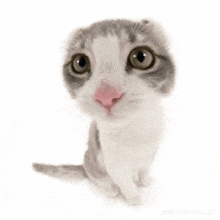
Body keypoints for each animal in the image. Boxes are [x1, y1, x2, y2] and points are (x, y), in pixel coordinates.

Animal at [32, 18, 174, 205]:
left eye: (141, 57)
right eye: (80, 62)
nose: (106, 95)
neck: (134, 128)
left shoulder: (152, 151)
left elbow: (144, 169)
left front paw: (144, 181)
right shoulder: (113, 162)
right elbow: (126, 184)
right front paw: (136, 201)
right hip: (92, 161)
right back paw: (110, 189)